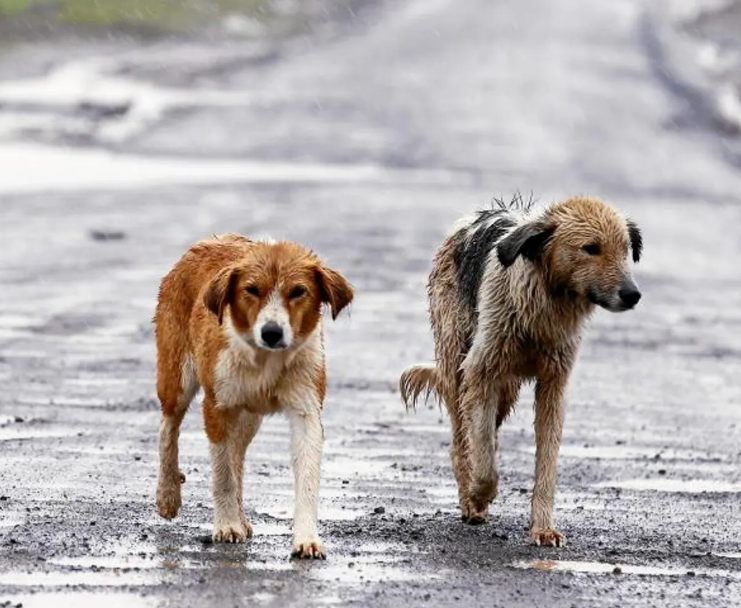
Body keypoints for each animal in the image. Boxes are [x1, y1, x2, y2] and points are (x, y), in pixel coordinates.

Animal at [153, 233, 352, 560]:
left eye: (298, 291)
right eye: (251, 289)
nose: (271, 332)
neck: (265, 361)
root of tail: (206, 242)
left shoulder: (306, 409)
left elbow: (306, 478)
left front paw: (307, 539)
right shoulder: (217, 406)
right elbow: (222, 475)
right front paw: (226, 525)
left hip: (248, 417)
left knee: (237, 455)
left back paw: (241, 517)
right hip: (177, 378)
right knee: (168, 429)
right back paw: (168, 494)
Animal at [398, 195, 640, 548]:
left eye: (625, 250)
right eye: (591, 248)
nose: (632, 294)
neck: (545, 306)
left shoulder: (553, 385)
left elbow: (546, 464)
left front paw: (543, 528)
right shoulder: (480, 371)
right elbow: (483, 458)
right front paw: (479, 494)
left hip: (506, 389)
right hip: (458, 366)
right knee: (462, 441)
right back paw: (469, 500)